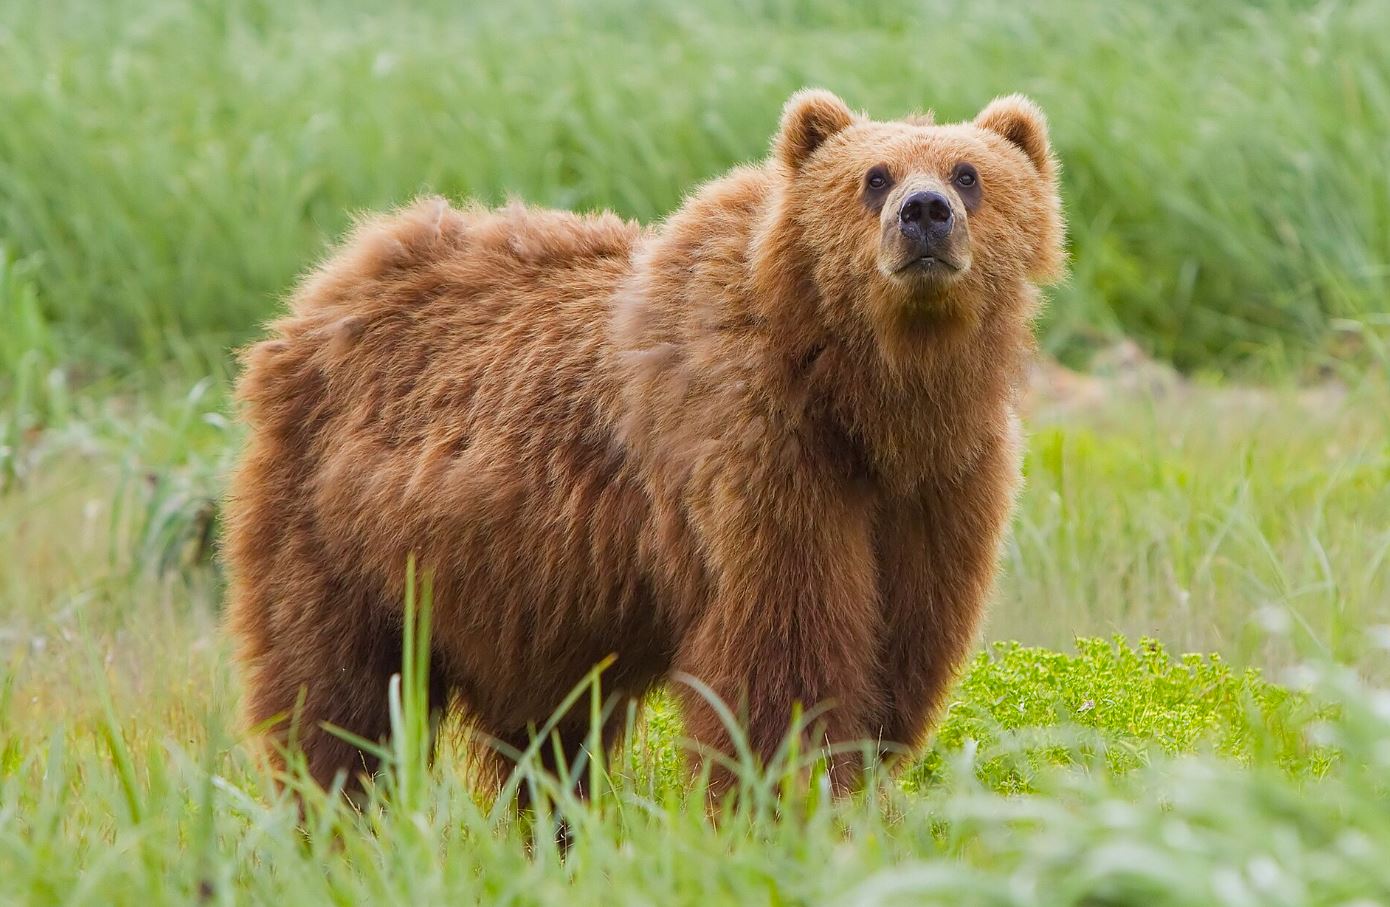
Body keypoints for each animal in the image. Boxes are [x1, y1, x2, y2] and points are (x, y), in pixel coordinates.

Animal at [223, 88, 1065, 798]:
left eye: (968, 173)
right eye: (874, 176)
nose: (924, 212)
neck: (868, 401)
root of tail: (327, 283)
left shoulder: (940, 488)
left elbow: (900, 651)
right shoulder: (759, 457)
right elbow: (783, 658)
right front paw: (789, 795)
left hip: (521, 595)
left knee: (545, 738)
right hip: (340, 533)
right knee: (337, 698)